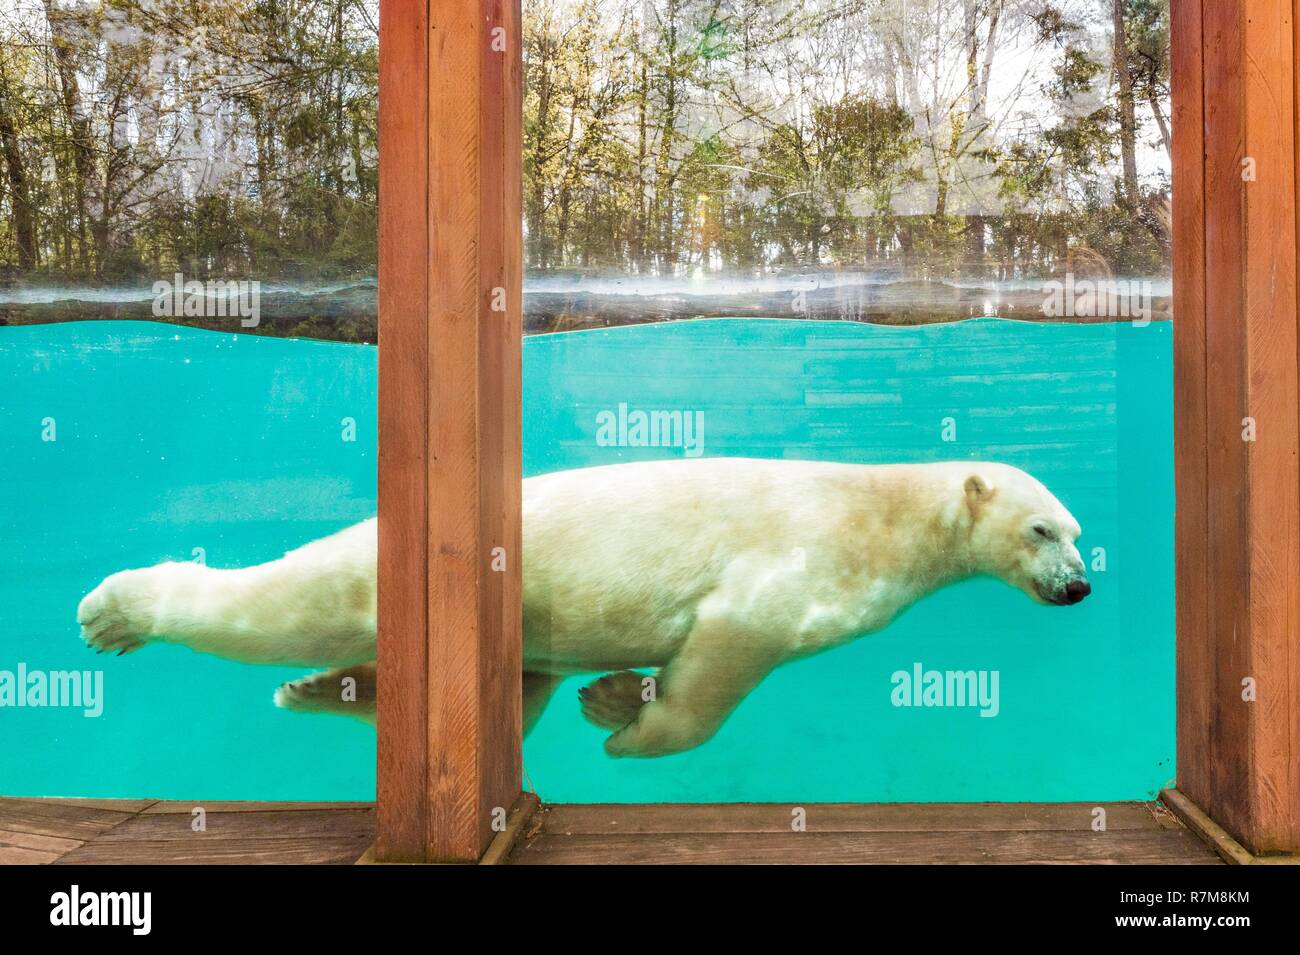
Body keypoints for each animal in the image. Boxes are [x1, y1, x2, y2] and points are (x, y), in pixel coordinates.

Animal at [73, 459, 1086, 758]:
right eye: (1044, 528)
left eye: (1080, 531)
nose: (1080, 587)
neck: (888, 511)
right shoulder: (796, 567)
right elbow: (728, 645)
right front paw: (624, 723)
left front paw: (611, 695)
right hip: (366, 573)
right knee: (279, 606)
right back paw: (115, 608)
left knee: (515, 692)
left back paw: (323, 691)